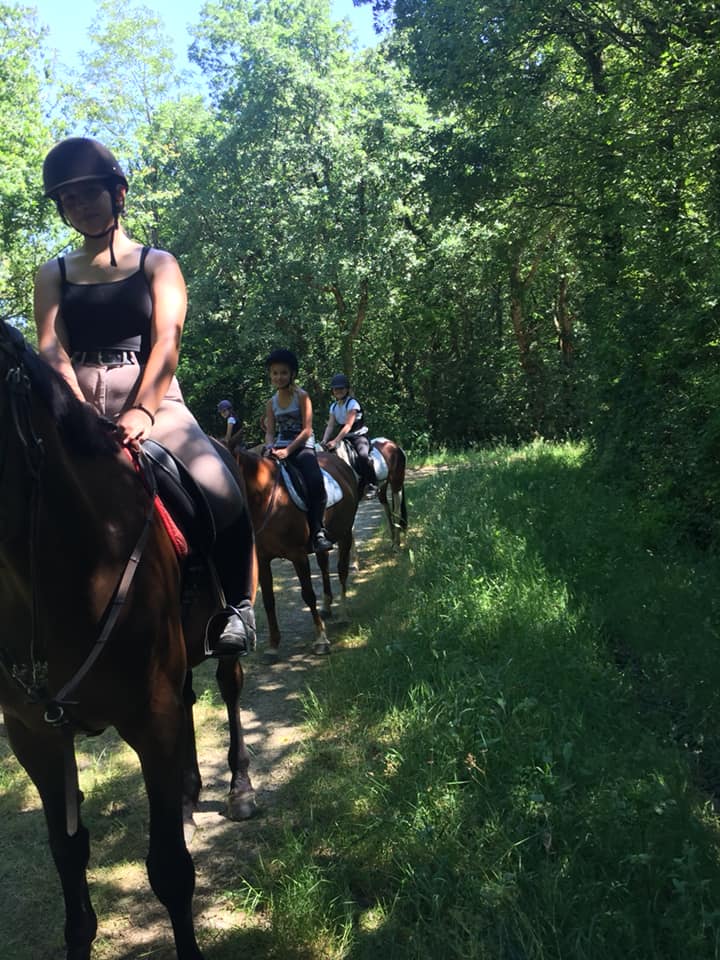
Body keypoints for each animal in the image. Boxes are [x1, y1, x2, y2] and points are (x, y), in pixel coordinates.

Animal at [0, 320, 255, 960]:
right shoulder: (35, 735)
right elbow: (70, 859)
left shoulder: (149, 715)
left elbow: (170, 871)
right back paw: (188, 795)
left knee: (230, 690)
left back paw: (238, 786)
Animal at [233, 448, 359, 656]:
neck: (267, 497)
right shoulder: (262, 558)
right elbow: (268, 600)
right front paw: (273, 645)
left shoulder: (297, 555)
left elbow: (308, 594)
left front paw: (321, 640)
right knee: (324, 566)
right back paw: (327, 606)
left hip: (345, 532)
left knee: (342, 570)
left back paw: (343, 614)